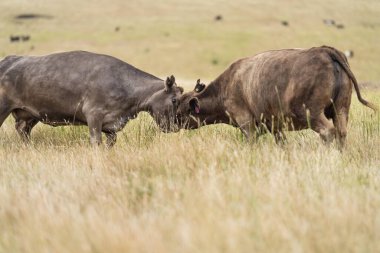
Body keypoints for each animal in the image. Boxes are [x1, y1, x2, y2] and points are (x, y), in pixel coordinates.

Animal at [0, 51, 184, 146]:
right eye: (174, 100)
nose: (175, 127)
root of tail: (9, 59)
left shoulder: (111, 125)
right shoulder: (94, 115)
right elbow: (96, 142)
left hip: (29, 115)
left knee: (23, 130)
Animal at [177, 46, 378, 148]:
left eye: (179, 112)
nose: (169, 126)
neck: (227, 84)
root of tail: (324, 50)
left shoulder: (247, 124)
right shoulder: (274, 126)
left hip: (311, 113)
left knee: (328, 132)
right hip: (341, 109)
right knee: (341, 133)